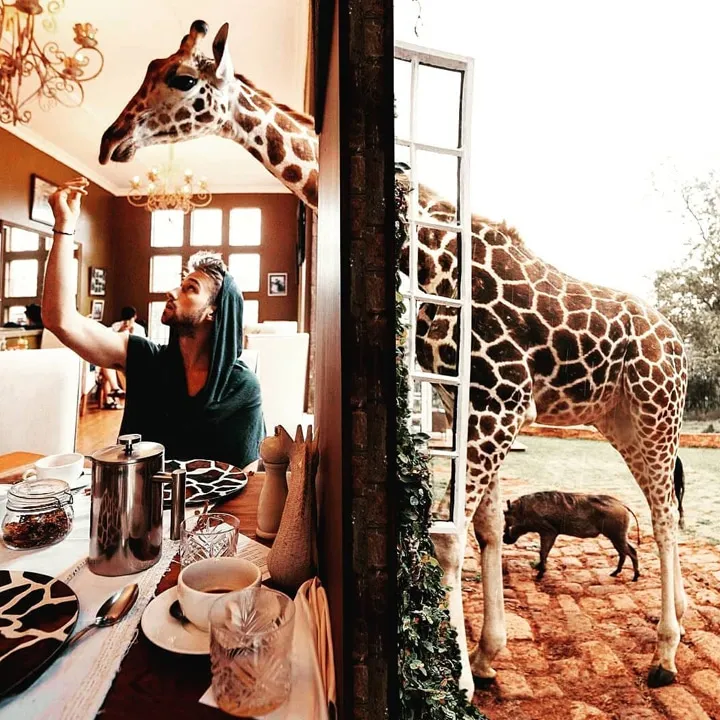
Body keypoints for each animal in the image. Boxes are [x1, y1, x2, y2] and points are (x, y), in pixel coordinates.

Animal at [396, 169, 688, 693]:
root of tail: (680, 345)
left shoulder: (502, 401)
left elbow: (448, 535)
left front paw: (459, 681)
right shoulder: (463, 403)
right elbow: (487, 527)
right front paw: (484, 659)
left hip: (658, 410)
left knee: (664, 518)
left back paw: (665, 657)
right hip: (621, 422)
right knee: (667, 508)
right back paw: (679, 614)